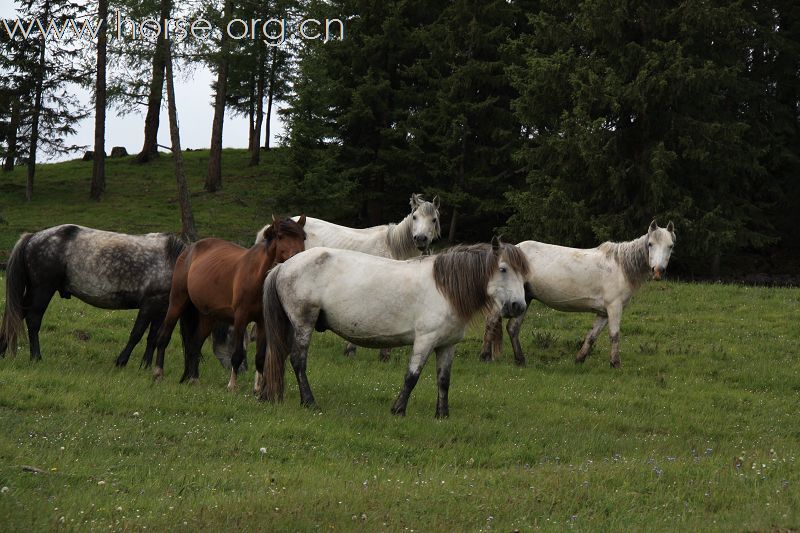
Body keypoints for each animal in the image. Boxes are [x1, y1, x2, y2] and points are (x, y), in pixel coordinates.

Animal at [0, 222, 183, 364]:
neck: (172, 262)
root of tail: (32, 237)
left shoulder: (162, 308)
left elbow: (152, 337)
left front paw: (145, 366)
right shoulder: (149, 304)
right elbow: (136, 335)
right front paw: (121, 361)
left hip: (33, 290)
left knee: (16, 314)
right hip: (43, 289)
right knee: (33, 320)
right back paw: (36, 357)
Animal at [153, 216, 306, 386]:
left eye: (303, 237)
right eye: (280, 236)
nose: (298, 257)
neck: (257, 277)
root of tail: (189, 249)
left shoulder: (262, 322)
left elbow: (260, 358)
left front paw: (258, 389)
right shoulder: (240, 318)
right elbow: (237, 354)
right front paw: (232, 385)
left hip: (207, 317)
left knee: (194, 345)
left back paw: (193, 379)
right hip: (177, 302)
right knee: (163, 336)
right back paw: (158, 373)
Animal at [262, 239, 532, 418]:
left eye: (524, 275)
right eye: (503, 269)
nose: (518, 306)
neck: (445, 289)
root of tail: (284, 266)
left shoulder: (447, 345)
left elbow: (444, 380)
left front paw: (442, 415)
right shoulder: (424, 340)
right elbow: (412, 376)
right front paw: (398, 410)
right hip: (303, 323)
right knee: (298, 361)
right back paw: (309, 402)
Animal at [478, 219, 680, 366]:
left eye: (671, 246)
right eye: (651, 244)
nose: (658, 271)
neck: (621, 267)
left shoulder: (603, 313)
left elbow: (592, 336)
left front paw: (579, 359)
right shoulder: (614, 308)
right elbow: (614, 335)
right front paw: (615, 364)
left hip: (524, 299)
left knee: (513, 328)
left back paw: (520, 360)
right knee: (491, 321)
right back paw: (485, 356)